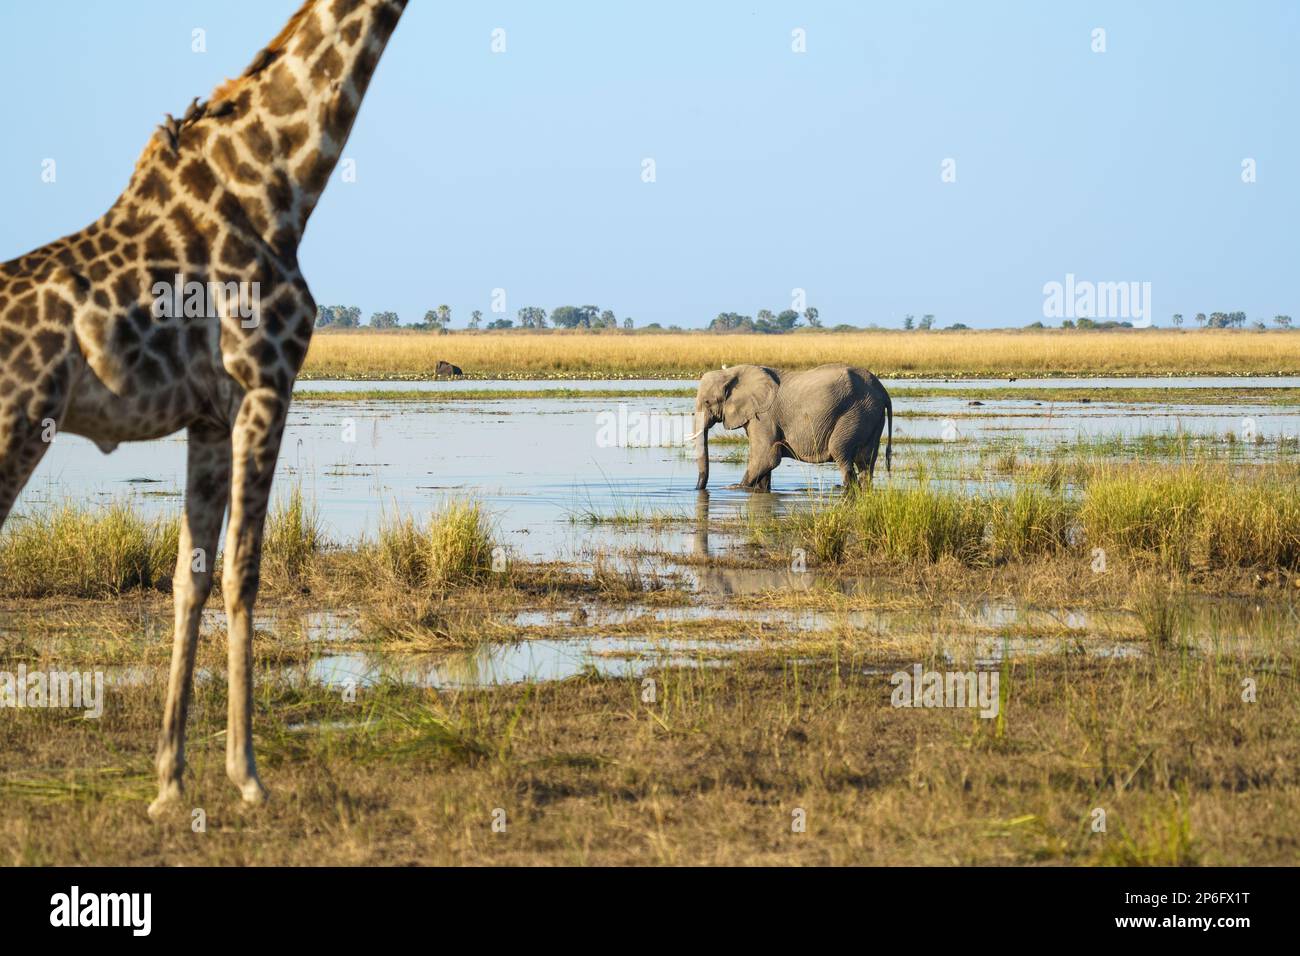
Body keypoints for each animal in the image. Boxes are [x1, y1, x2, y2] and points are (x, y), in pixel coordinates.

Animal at [0, 0, 410, 816]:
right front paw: (248, 775)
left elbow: (188, 576)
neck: (279, 184)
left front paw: (168, 781)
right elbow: (242, 572)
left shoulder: (209, 419)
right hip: (16, 423)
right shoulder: (265, 383)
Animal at [691, 361, 894, 489]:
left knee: (841, 452)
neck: (732, 372)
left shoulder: (764, 415)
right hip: (871, 415)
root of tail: (882, 390)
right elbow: (766, 463)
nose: (698, 488)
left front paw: (735, 487)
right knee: (866, 462)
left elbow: (766, 457)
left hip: (856, 413)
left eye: (708, 402)